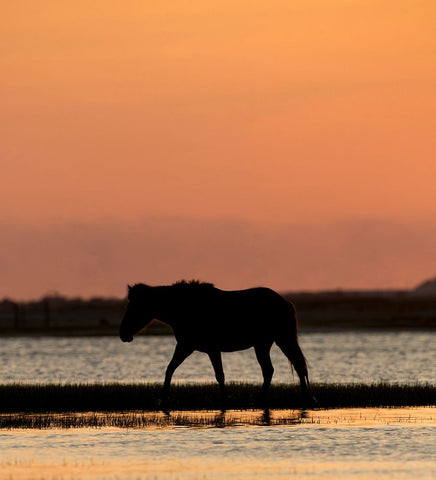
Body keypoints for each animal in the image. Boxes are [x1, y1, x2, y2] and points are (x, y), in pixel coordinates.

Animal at [120, 282, 314, 408]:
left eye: (134, 307)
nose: (123, 334)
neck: (183, 308)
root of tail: (285, 302)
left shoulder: (197, 347)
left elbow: (218, 375)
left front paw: (224, 402)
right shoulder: (190, 347)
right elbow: (170, 369)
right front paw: (164, 400)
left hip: (277, 340)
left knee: (289, 367)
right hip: (267, 343)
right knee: (280, 368)